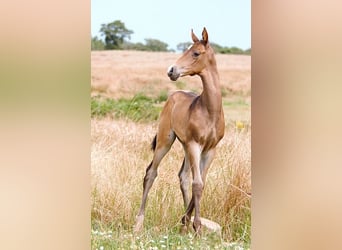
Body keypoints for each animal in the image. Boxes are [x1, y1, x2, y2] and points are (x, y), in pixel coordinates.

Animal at [134, 27, 224, 234]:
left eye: (196, 53)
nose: (171, 71)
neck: (210, 110)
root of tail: (173, 96)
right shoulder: (195, 145)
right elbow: (197, 184)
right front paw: (197, 227)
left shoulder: (210, 149)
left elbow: (201, 182)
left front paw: (187, 221)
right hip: (166, 140)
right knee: (151, 173)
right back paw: (139, 223)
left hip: (184, 146)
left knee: (183, 176)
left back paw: (184, 224)